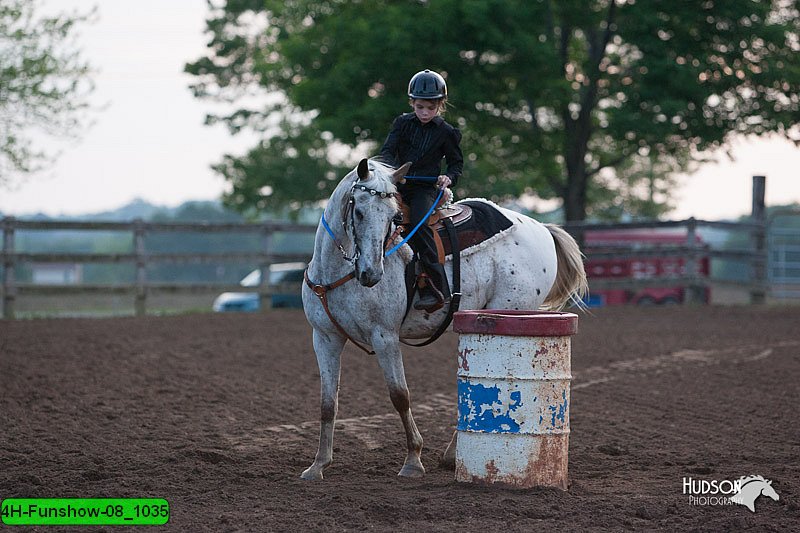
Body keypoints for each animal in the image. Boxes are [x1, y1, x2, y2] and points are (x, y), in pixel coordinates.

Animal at [300, 158, 588, 478]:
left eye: (394, 217)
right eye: (359, 212)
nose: (372, 273)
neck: (336, 273)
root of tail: (542, 229)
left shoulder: (384, 336)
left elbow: (399, 395)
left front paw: (413, 461)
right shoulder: (324, 337)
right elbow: (328, 403)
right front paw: (318, 465)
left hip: (512, 310)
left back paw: (453, 455)